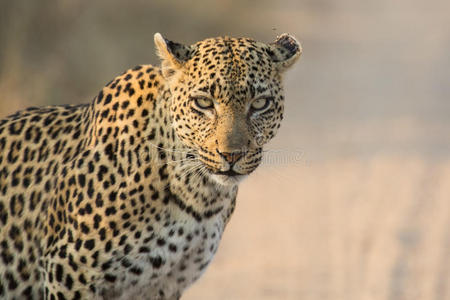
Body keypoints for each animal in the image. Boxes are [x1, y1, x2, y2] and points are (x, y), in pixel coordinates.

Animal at [0, 31, 302, 298]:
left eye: (260, 104)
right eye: (203, 103)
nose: (232, 155)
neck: (199, 195)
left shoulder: (165, 284)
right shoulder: (67, 271)